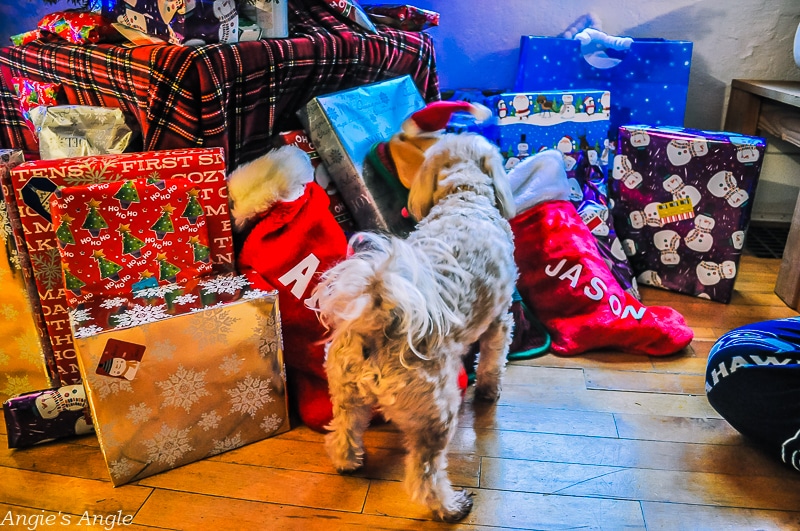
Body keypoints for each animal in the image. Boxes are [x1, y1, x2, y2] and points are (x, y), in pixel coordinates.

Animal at [310, 132, 516, 520]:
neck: (463, 195)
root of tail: (380, 321)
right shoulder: (500, 320)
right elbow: (493, 362)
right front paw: (489, 391)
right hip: (436, 413)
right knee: (425, 475)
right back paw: (450, 506)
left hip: (345, 394)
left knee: (343, 433)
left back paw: (349, 462)